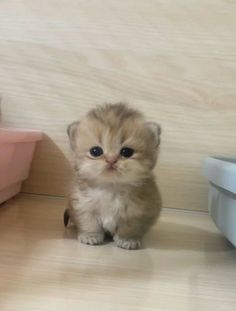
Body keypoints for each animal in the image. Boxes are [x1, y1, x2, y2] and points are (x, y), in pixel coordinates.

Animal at [66, 103, 162, 250]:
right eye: (95, 151)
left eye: (127, 152)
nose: (111, 160)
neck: (111, 187)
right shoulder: (84, 206)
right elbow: (90, 223)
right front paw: (90, 236)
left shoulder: (137, 212)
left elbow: (129, 228)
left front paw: (127, 240)